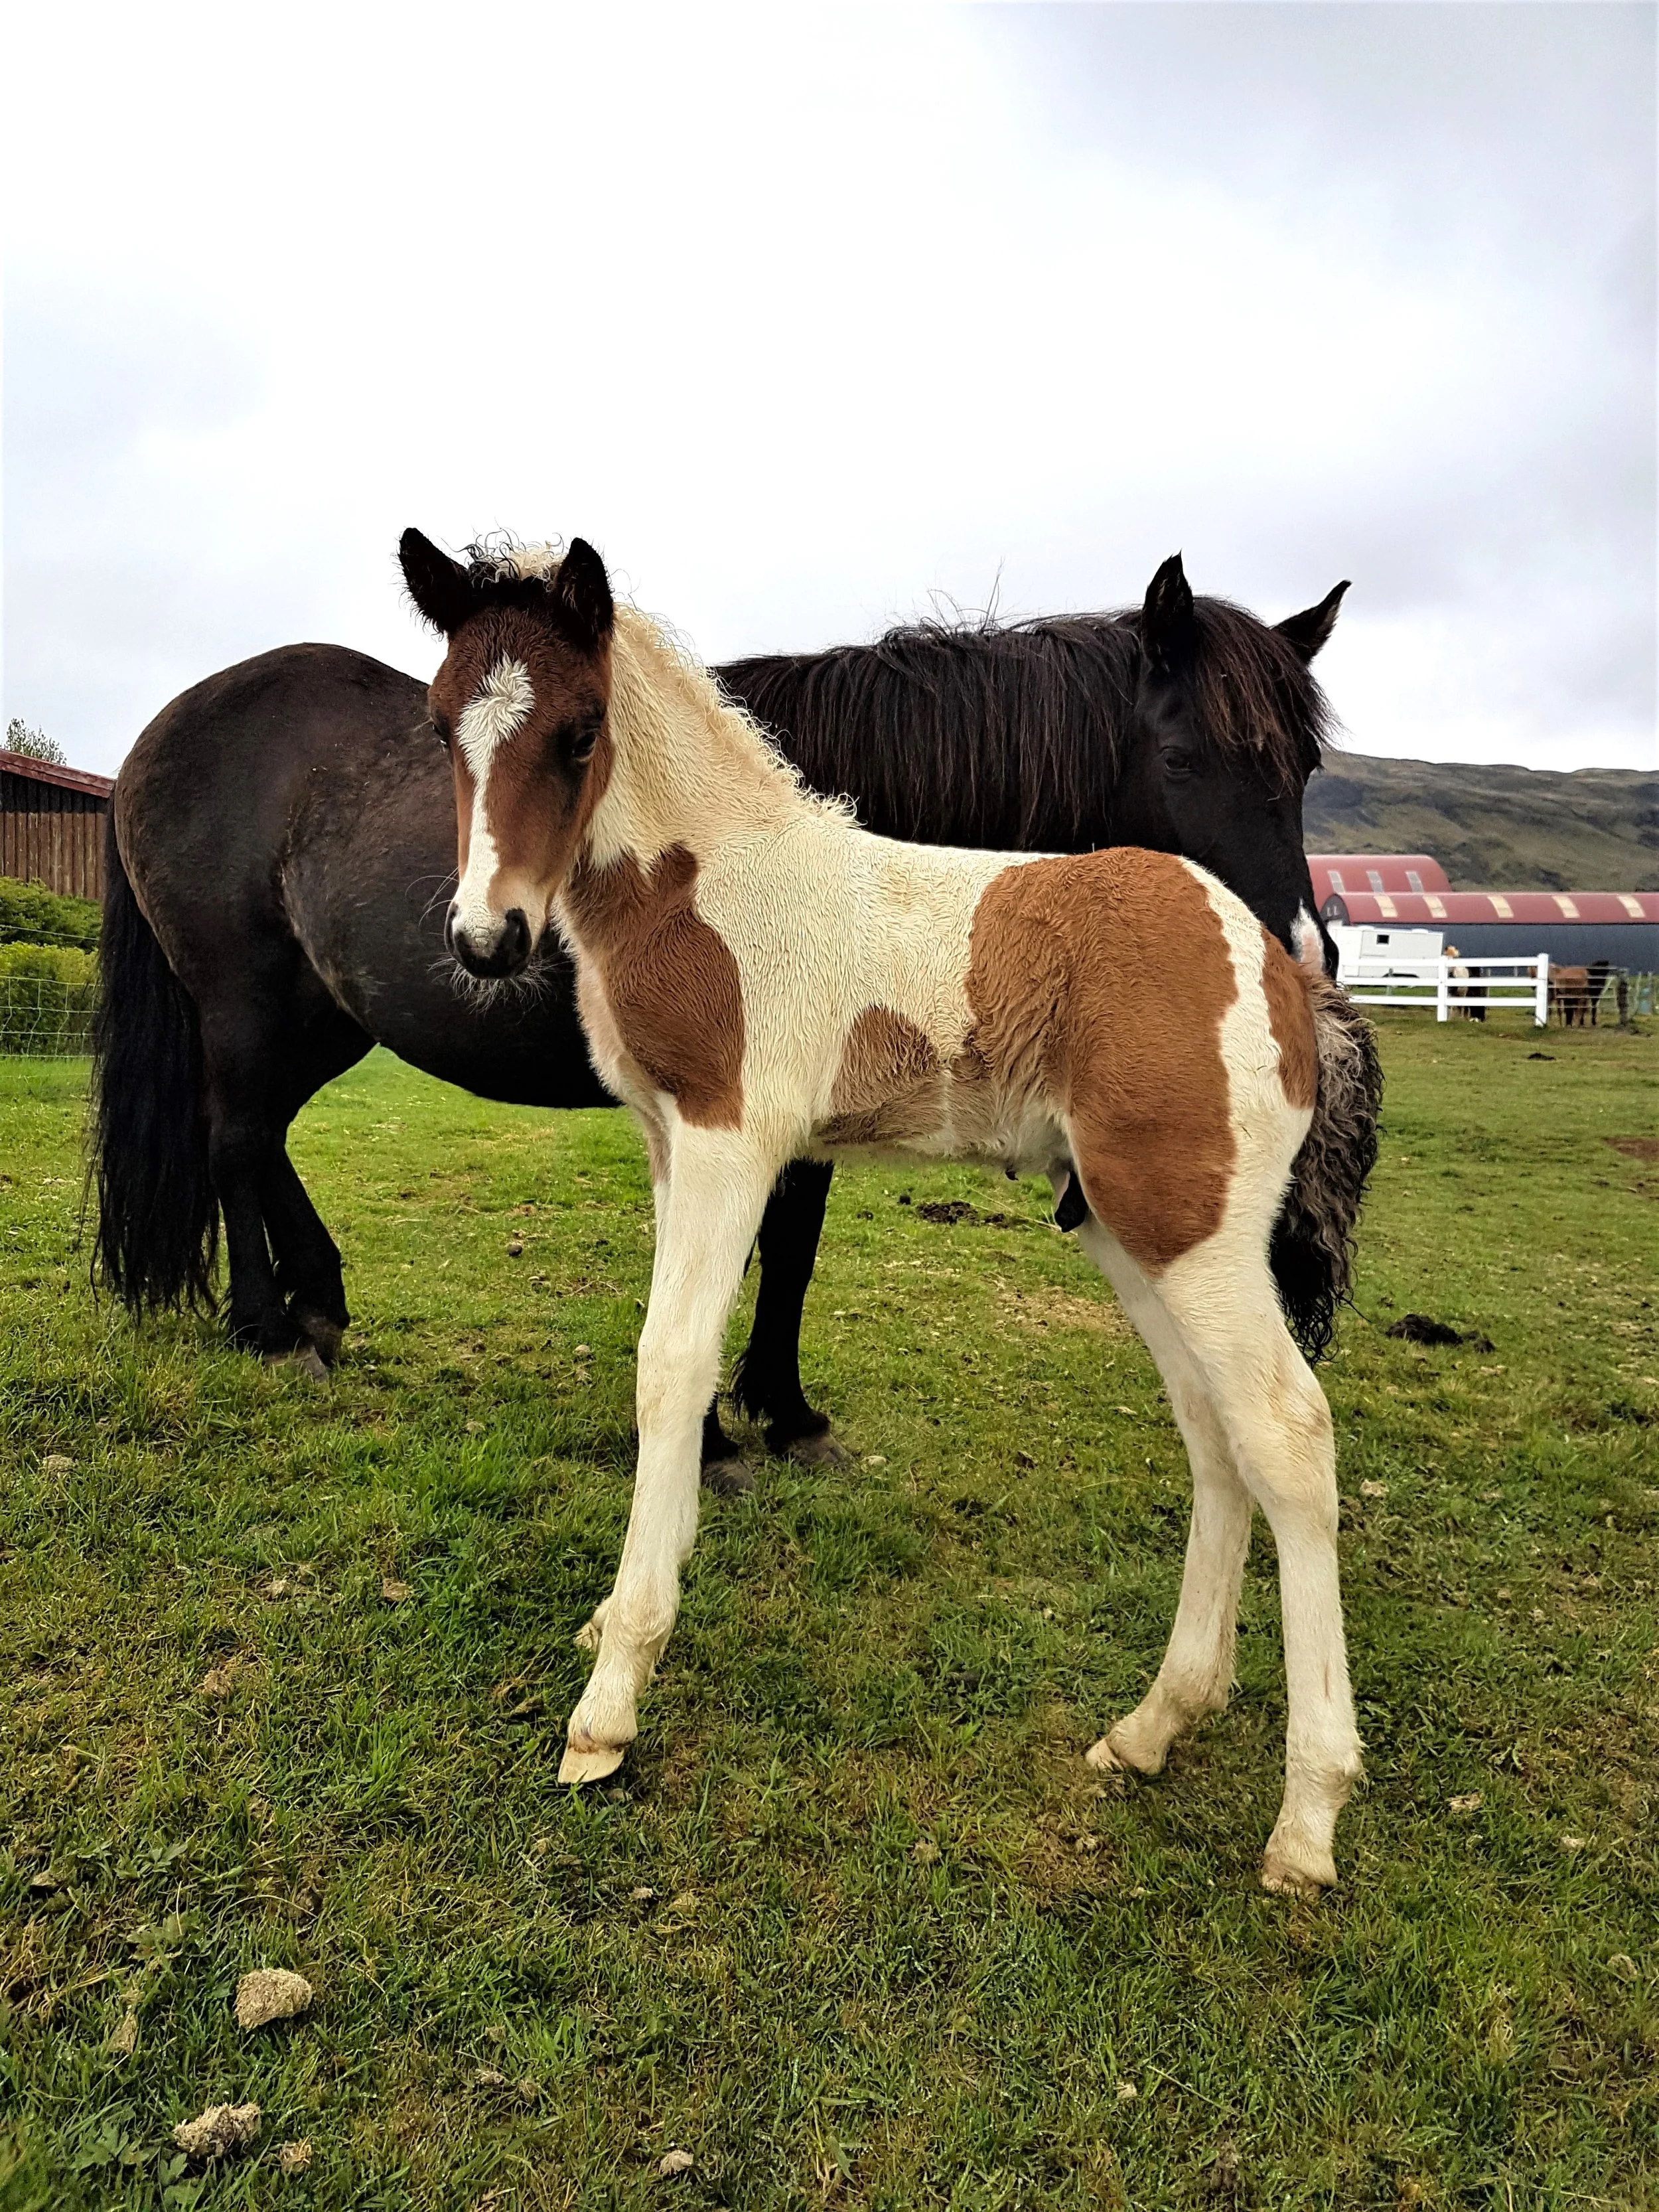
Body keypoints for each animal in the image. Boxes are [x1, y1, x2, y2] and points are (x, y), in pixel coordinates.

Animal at [94, 548, 1364, 1486]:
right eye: (1186, 753)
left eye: (1304, 764)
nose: (1302, 962)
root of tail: (163, 729)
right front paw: (715, 1432)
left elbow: (789, 1252)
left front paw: (781, 1410)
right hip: (244, 1001)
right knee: (235, 1138)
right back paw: (269, 1328)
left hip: (325, 1017)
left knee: (262, 1138)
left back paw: (319, 1302)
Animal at [402, 529, 1378, 1896]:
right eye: (444, 726)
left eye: (581, 729)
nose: (487, 938)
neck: (708, 884)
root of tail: (1286, 975)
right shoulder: (668, 1149)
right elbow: (681, 1362)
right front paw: (626, 1611)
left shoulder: (731, 1143)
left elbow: (669, 1364)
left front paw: (612, 1696)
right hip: (1138, 1228)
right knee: (1213, 1430)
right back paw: (1153, 1725)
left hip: (1192, 1229)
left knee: (1288, 1434)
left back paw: (1307, 1819)